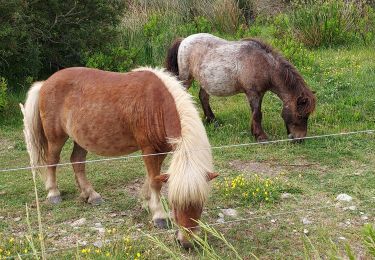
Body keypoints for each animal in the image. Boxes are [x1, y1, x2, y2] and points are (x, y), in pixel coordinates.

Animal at [20, 66, 219, 248]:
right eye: (175, 204)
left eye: (201, 204)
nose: (186, 243)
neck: (157, 103)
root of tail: (45, 83)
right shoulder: (148, 148)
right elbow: (155, 182)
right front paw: (159, 216)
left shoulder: (161, 150)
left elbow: (152, 178)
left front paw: (146, 202)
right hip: (56, 138)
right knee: (52, 162)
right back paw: (53, 193)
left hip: (80, 139)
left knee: (77, 162)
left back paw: (90, 195)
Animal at [166, 33, 316, 141]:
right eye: (301, 115)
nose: (299, 139)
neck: (265, 66)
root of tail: (184, 40)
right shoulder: (253, 93)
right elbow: (257, 113)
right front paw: (261, 136)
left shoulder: (260, 94)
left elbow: (256, 113)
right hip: (186, 79)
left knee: (203, 97)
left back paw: (212, 121)